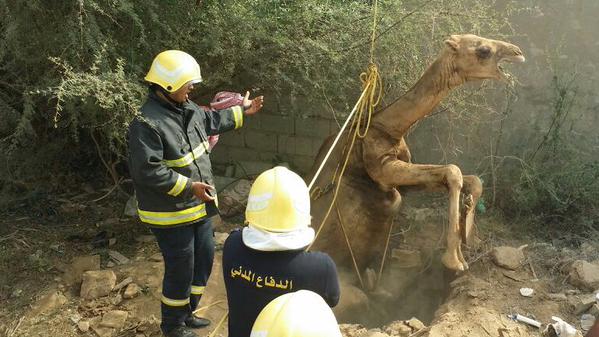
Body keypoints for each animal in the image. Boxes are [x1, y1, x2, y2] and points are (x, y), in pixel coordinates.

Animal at [310, 32, 524, 272]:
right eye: (483, 50)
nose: (518, 52)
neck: (389, 128)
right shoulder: (380, 166)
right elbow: (453, 170)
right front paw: (454, 260)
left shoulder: (397, 183)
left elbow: (471, 179)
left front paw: (467, 230)